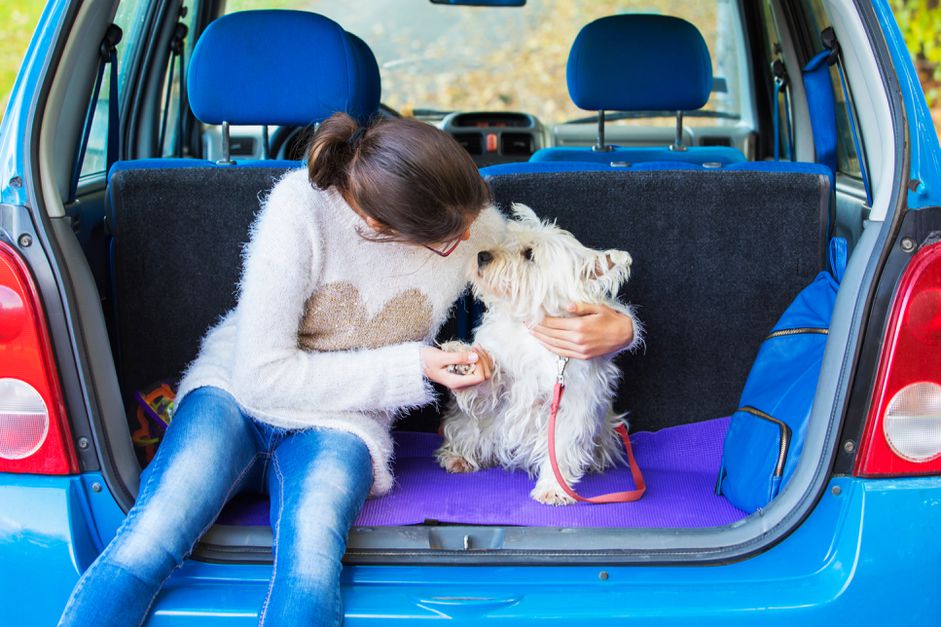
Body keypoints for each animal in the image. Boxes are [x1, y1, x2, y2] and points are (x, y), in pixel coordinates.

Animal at [436, 204, 636, 508]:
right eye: (507, 240)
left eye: (529, 254)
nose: (482, 255)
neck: (529, 328)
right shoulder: (501, 393)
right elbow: (486, 383)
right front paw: (463, 360)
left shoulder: (569, 405)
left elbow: (560, 447)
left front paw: (554, 488)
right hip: (472, 425)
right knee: (469, 433)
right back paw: (459, 457)